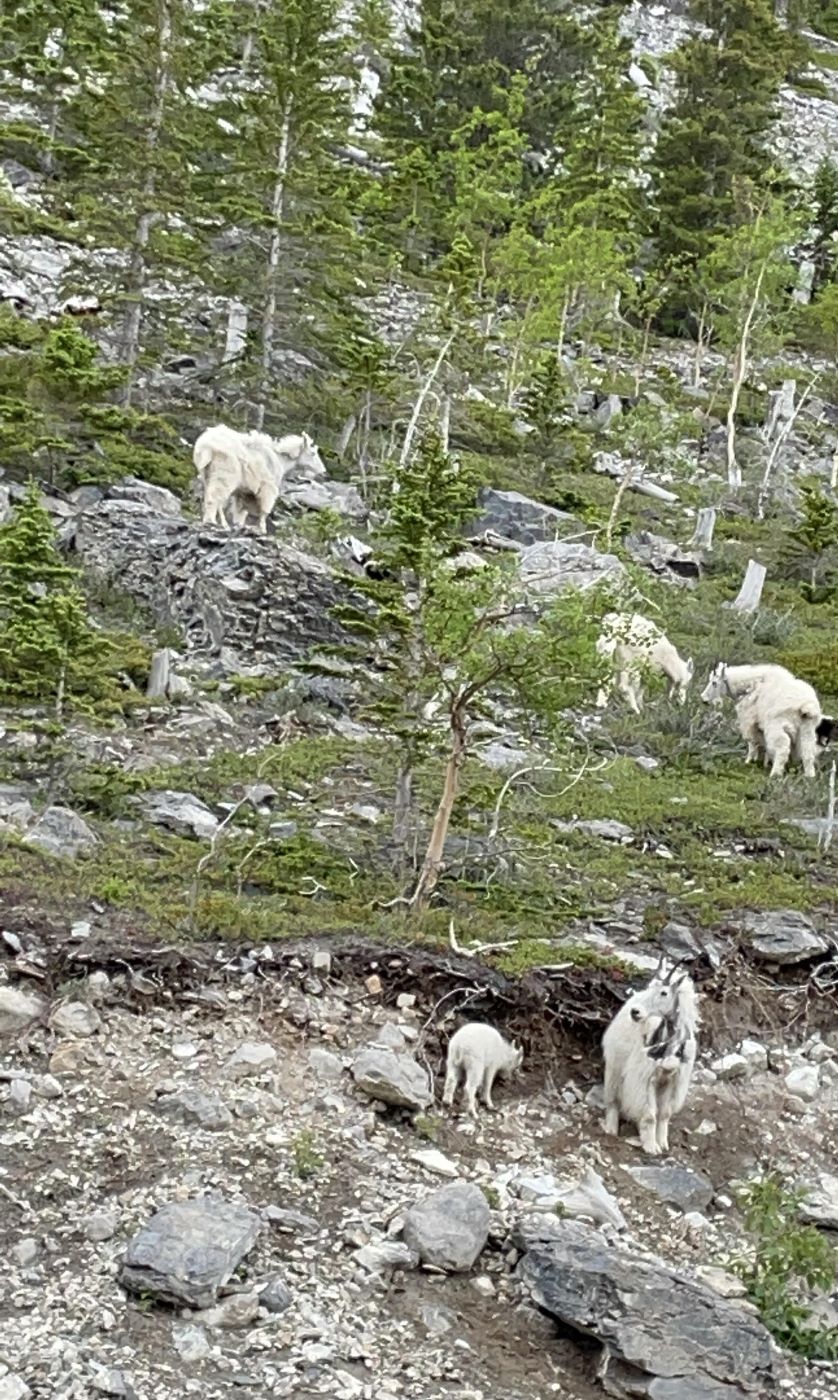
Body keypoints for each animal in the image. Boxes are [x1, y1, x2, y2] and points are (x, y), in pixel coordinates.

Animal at [194, 422, 327, 532]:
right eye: (313, 453)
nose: (323, 472)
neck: (281, 460)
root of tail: (205, 447)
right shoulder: (267, 486)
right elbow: (264, 509)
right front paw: (262, 529)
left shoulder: (244, 491)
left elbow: (240, 509)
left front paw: (239, 524)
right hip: (225, 473)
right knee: (215, 497)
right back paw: (211, 521)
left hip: (207, 473)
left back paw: (219, 523)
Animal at [604, 963, 702, 1159]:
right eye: (650, 986)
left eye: (664, 992)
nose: (635, 1012)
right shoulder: (645, 1077)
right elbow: (650, 1115)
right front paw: (651, 1147)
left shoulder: (673, 1080)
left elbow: (664, 1114)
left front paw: (663, 1143)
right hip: (615, 1067)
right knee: (613, 1099)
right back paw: (611, 1128)